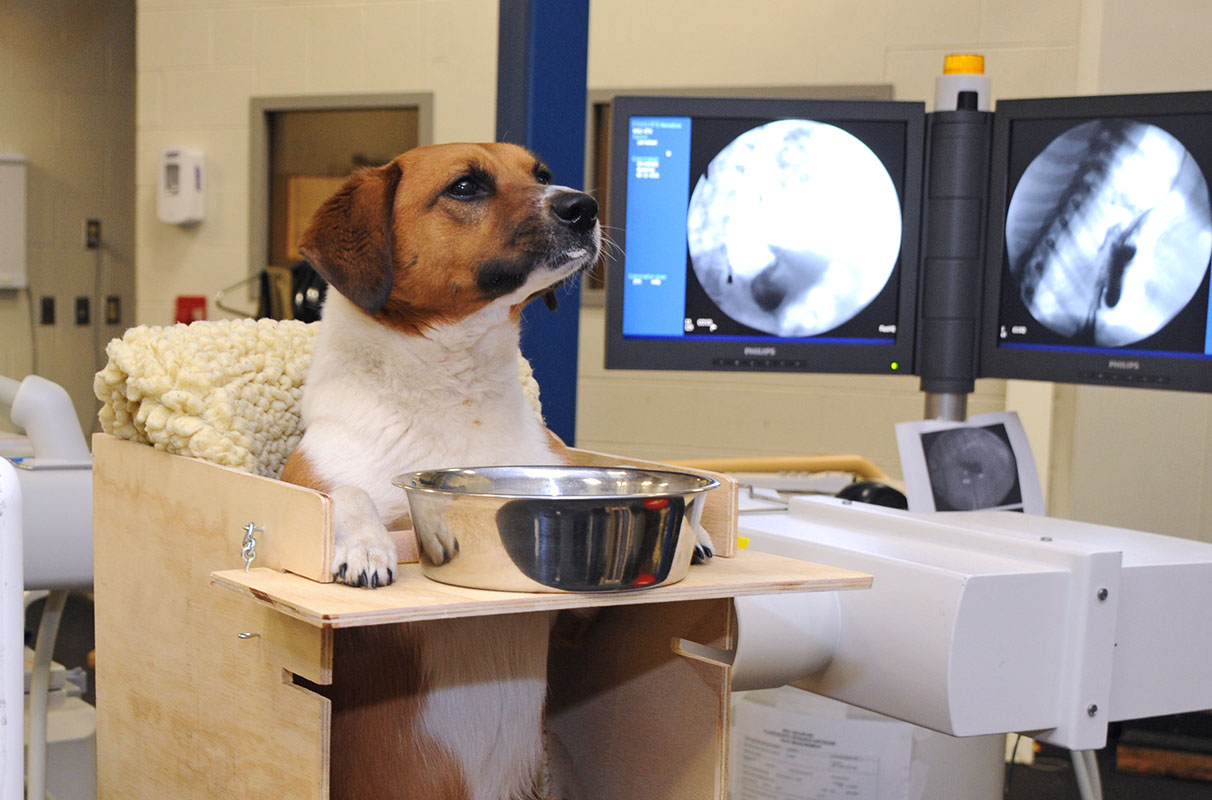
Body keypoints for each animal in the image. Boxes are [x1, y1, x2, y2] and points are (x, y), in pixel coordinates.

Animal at [284, 143, 606, 800]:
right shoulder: (307, 473)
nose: (584, 206)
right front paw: (365, 544)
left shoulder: (576, 615)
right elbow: (346, 492)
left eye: (540, 174)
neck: (454, 390)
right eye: (464, 187)